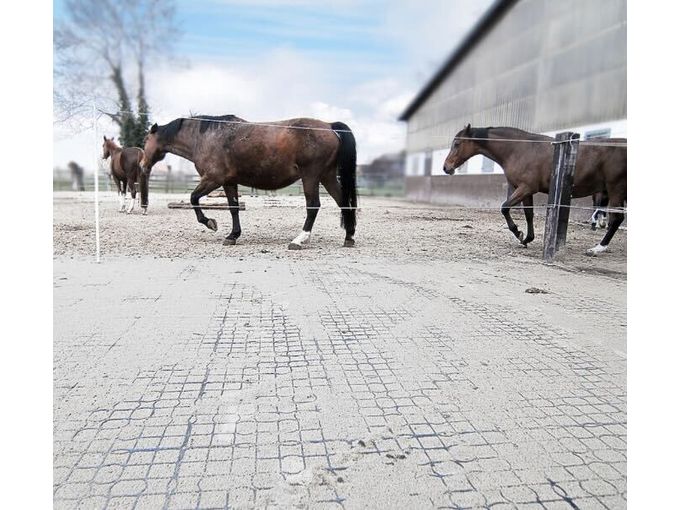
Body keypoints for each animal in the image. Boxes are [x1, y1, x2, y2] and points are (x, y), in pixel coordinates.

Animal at [140, 115, 357, 249]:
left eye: (145, 140)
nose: (142, 165)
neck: (205, 136)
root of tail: (329, 126)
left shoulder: (213, 179)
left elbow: (193, 198)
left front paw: (210, 223)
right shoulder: (228, 182)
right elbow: (234, 208)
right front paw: (233, 235)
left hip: (311, 177)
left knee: (313, 206)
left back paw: (299, 239)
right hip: (327, 176)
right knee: (343, 202)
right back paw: (349, 237)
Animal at [442, 125, 626, 256]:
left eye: (457, 144)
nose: (446, 167)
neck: (521, 149)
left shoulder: (526, 188)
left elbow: (505, 208)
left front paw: (518, 232)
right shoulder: (525, 191)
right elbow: (528, 214)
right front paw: (526, 238)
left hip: (615, 189)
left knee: (617, 218)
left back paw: (598, 248)